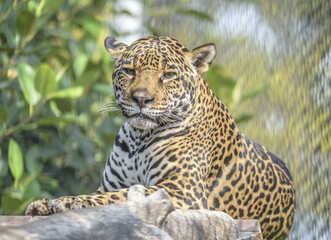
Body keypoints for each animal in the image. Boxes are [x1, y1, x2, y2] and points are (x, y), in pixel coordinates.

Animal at [26, 35, 296, 240]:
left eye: (168, 75)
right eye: (129, 71)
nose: (141, 99)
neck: (138, 138)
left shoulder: (182, 190)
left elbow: (117, 198)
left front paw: (68, 203)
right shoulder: (108, 184)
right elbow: (105, 194)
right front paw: (44, 203)